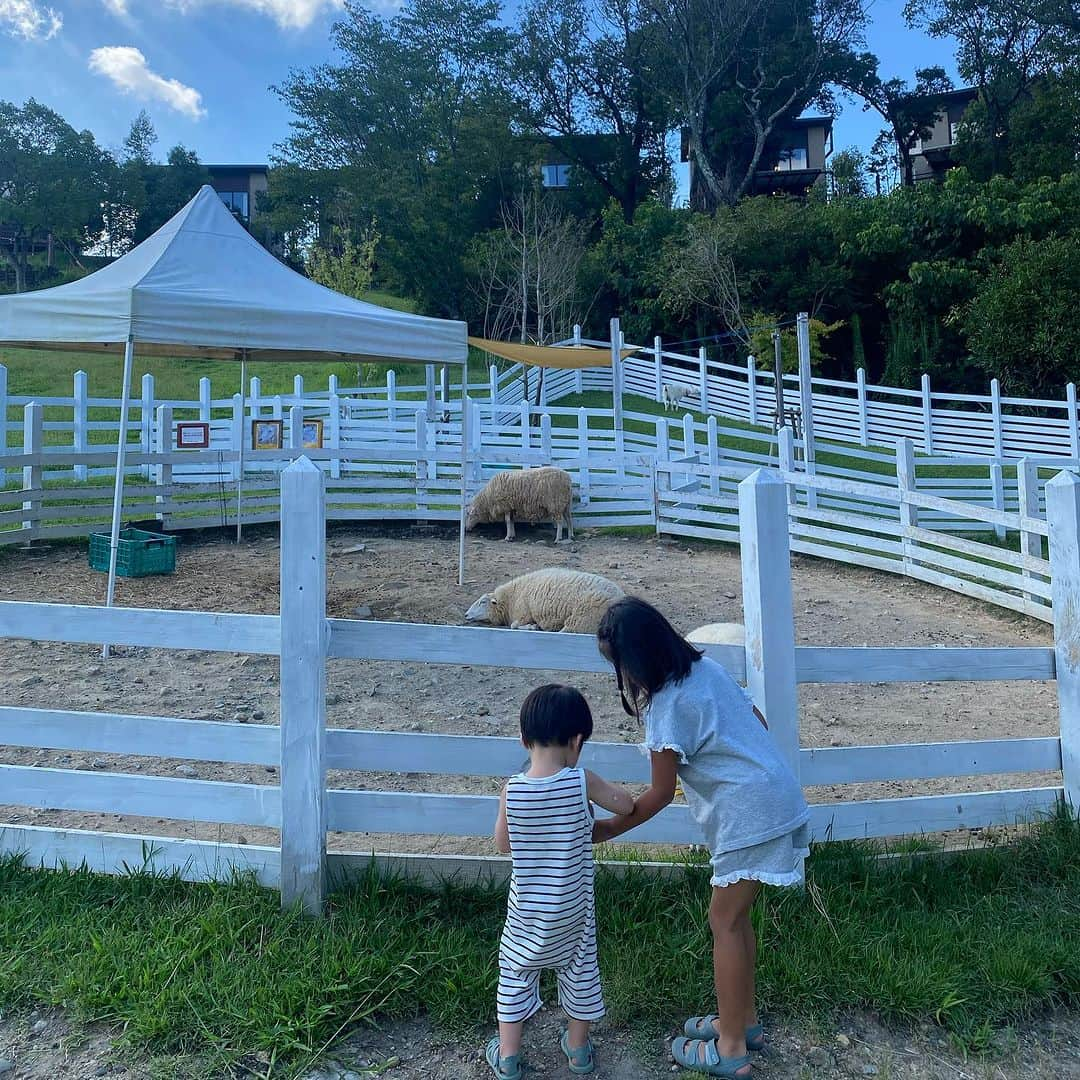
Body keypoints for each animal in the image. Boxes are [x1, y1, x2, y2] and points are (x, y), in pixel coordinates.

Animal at [464, 565, 626, 630]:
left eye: (482, 602)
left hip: (583, 618)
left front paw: (532, 627)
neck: (510, 599)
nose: (466, 614)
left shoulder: (523, 613)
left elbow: (514, 625)